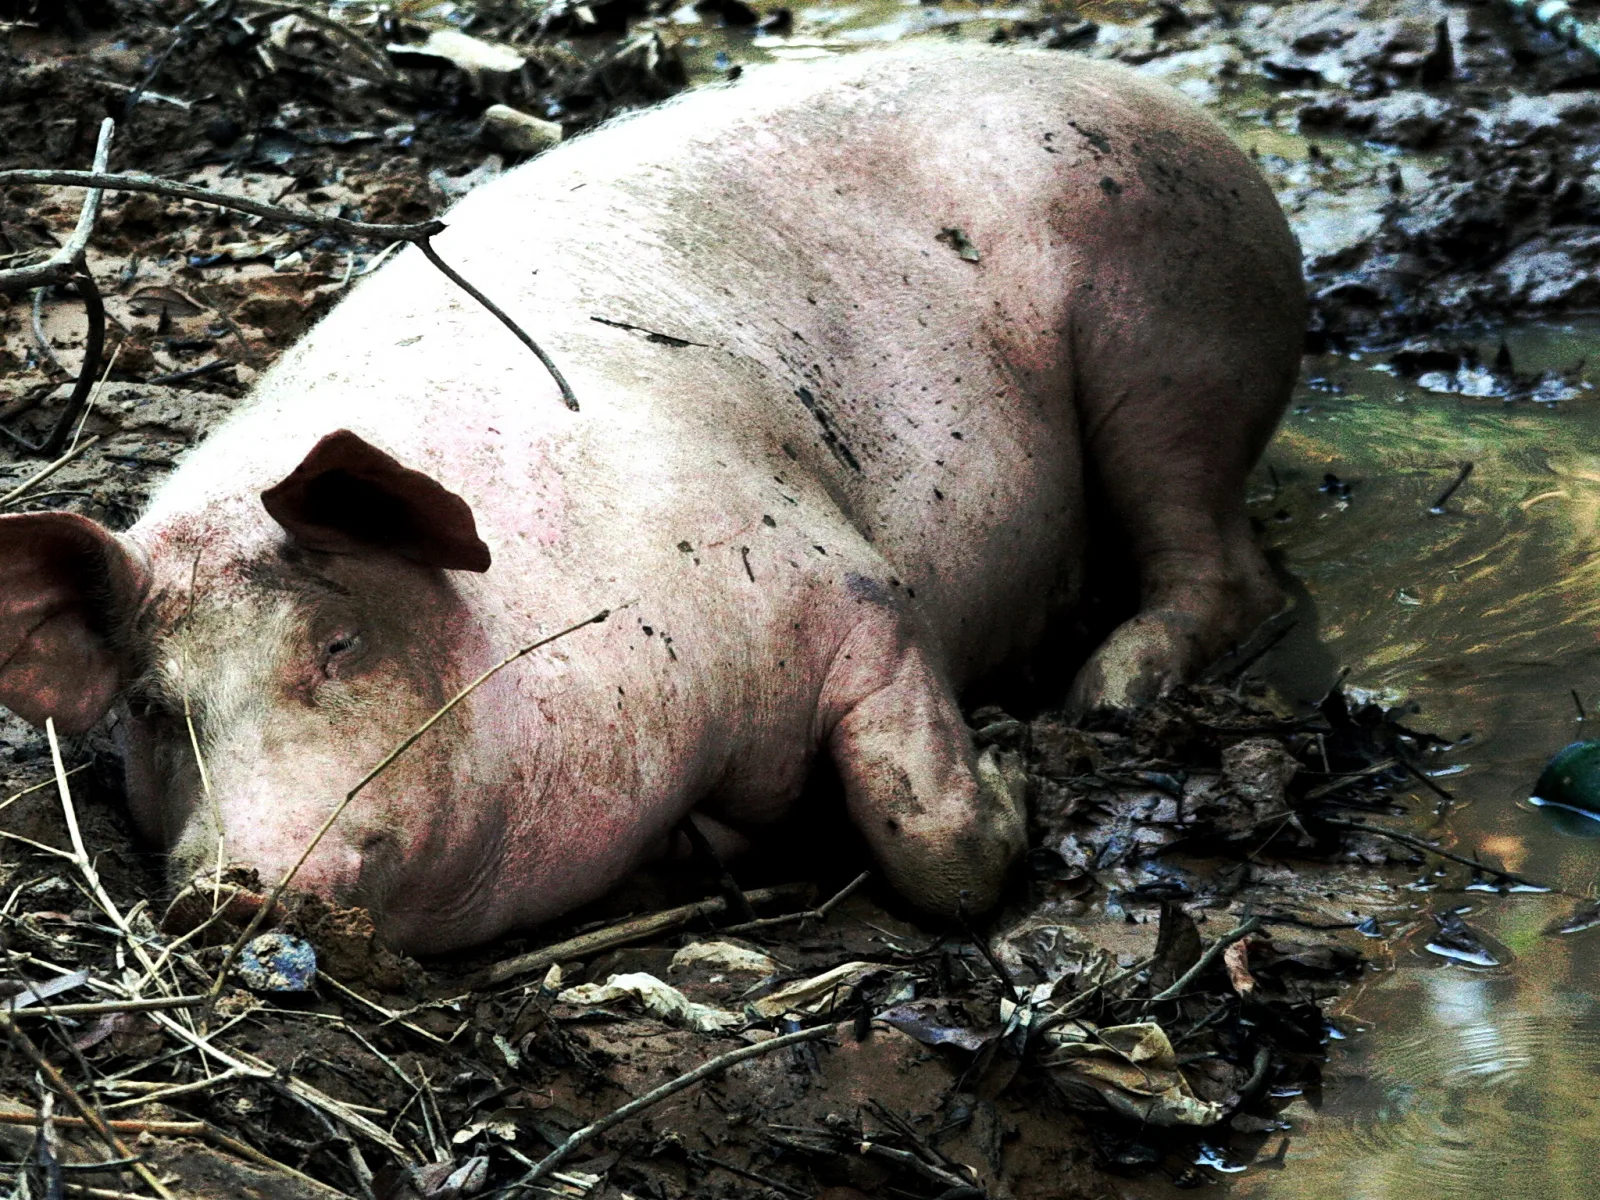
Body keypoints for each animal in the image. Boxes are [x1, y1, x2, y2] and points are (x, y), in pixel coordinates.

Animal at [0, 43, 1302, 952]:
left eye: (338, 643)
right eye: (154, 707)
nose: (231, 885)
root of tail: (1192, 121)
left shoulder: (845, 584)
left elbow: (934, 840)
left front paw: (1010, 758)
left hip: (1177, 331)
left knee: (1227, 568)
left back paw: (1105, 699)